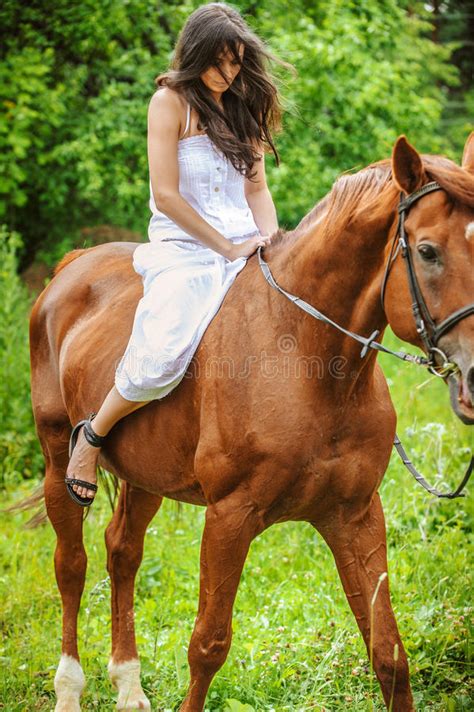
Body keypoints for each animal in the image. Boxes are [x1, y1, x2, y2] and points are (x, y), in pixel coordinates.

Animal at [30, 135, 474, 712]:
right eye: (427, 251)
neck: (306, 357)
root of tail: (73, 266)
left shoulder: (354, 515)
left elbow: (389, 655)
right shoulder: (230, 516)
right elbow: (207, 646)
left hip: (145, 476)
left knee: (122, 551)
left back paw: (129, 687)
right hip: (56, 454)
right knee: (71, 564)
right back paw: (69, 688)